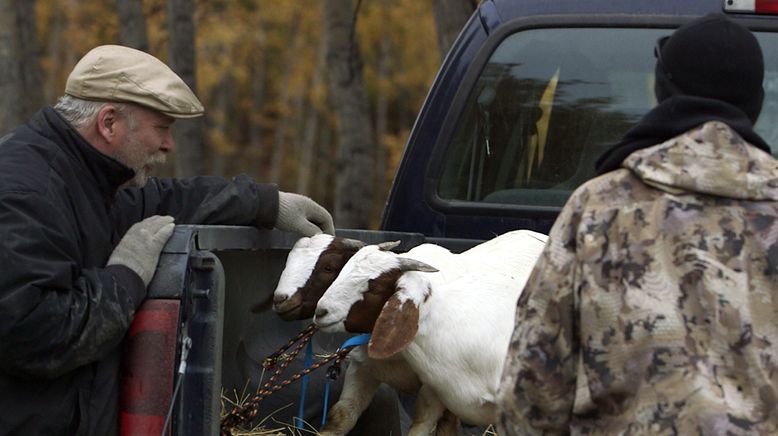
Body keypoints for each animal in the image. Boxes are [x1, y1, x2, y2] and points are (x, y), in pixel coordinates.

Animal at [312, 230, 544, 430]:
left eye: (374, 287)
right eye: (338, 271)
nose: (321, 311)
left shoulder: (434, 389)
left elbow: (423, 424)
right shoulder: (363, 368)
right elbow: (341, 416)